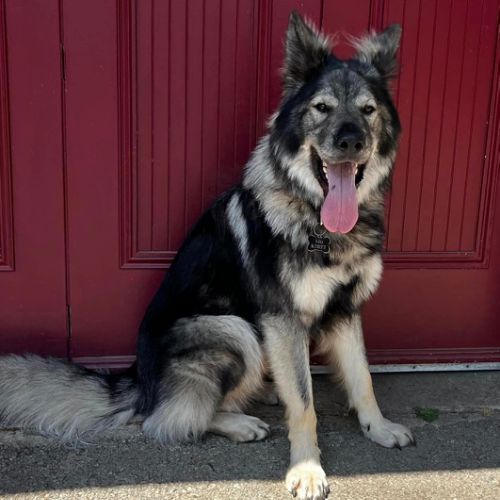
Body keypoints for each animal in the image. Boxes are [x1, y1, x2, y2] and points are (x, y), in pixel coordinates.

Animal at [0, 12, 414, 500]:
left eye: (368, 110)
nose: (351, 141)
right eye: (322, 108)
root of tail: (138, 381)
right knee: (169, 420)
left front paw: (378, 428)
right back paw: (239, 421)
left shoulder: (346, 311)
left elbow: (362, 378)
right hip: (235, 329)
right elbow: (305, 404)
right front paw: (307, 467)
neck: (315, 217)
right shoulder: (282, 319)